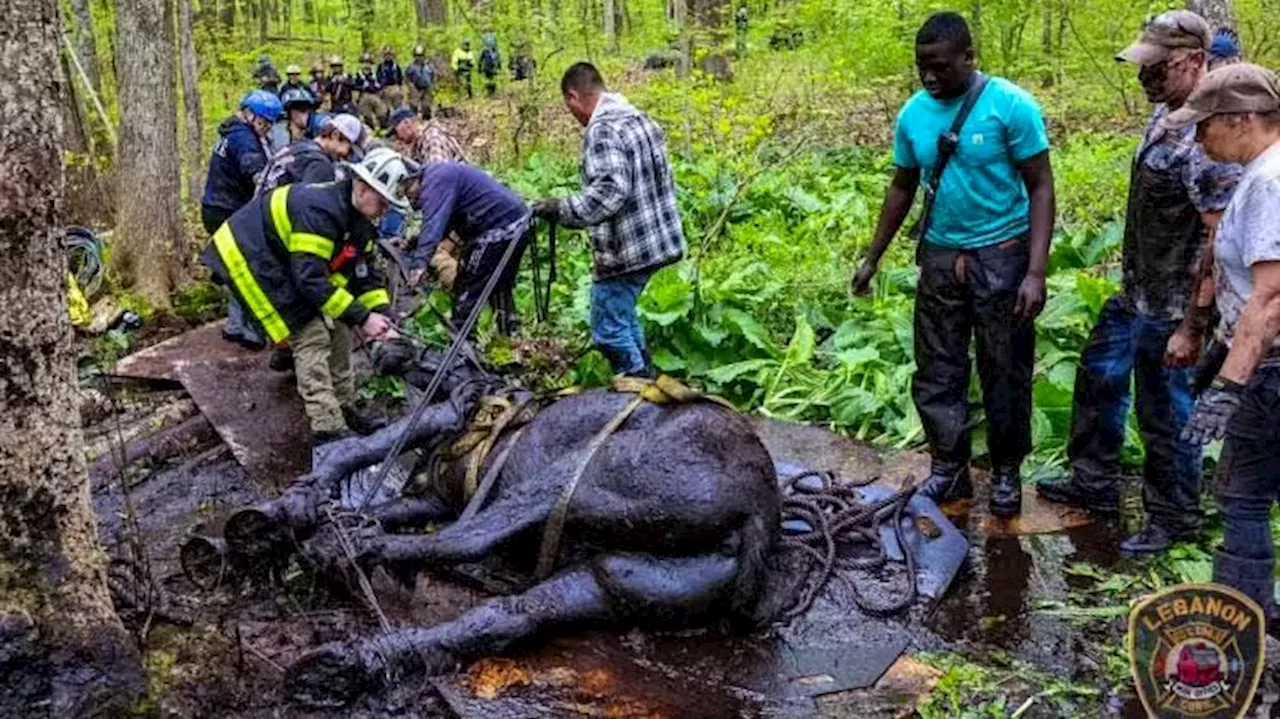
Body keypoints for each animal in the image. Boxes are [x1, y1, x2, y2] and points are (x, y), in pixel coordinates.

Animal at [217, 340, 778, 701]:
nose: (379, 341)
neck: (478, 387)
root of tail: (760, 509)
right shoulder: (434, 500)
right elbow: (376, 508)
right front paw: (310, 523)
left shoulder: (438, 419)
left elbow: (354, 452)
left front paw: (286, 514)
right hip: (623, 580)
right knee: (508, 617)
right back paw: (350, 667)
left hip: (582, 475)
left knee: (469, 539)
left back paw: (354, 561)